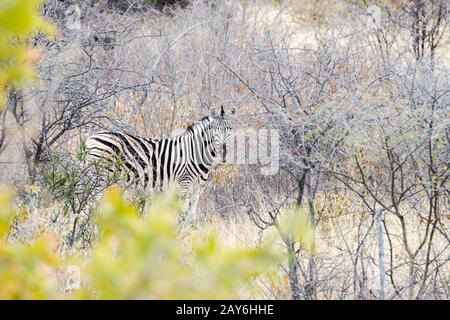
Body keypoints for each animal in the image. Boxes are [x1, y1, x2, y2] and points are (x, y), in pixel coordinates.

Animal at [84, 105, 236, 220]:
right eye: (215, 130)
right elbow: (182, 213)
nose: (223, 151)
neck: (196, 153)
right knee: (90, 204)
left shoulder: (198, 188)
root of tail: (91, 138)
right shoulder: (184, 184)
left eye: (229, 129)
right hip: (100, 177)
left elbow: (192, 216)